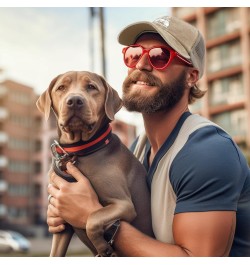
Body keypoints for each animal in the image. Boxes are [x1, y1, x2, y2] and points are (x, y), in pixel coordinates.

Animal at [36, 70, 154, 256]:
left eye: (91, 87)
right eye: (61, 87)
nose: (74, 101)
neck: (79, 153)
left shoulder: (124, 205)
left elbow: (92, 219)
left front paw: (103, 247)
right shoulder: (61, 223)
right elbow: (55, 253)